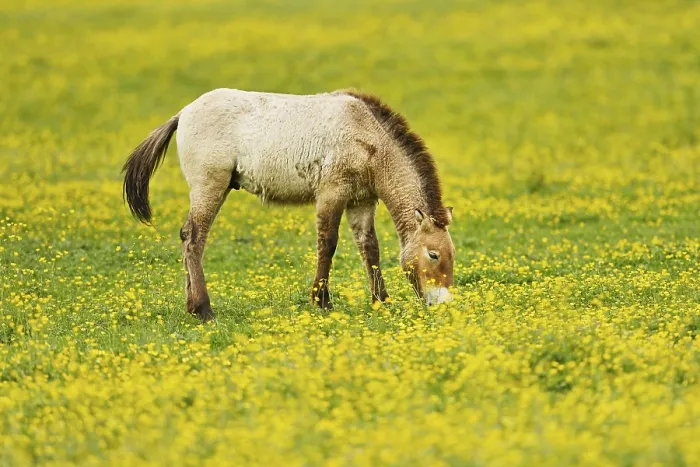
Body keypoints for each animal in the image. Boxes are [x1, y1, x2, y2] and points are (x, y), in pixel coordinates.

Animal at [122, 88, 455, 321]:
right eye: (434, 254)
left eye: (452, 254)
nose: (443, 303)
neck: (367, 135)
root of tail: (184, 113)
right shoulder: (331, 193)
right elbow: (327, 243)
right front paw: (322, 301)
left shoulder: (361, 201)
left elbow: (369, 248)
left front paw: (381, 301)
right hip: (210, 186)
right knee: (193, 237)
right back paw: (203, 309)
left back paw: (191, 306)